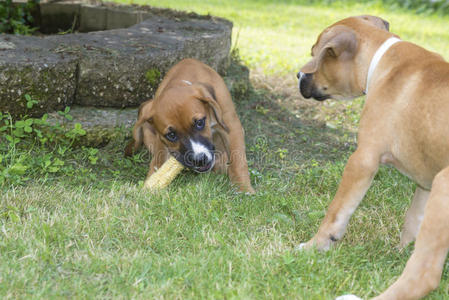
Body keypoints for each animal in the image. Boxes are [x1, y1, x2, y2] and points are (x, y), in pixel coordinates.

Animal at [124, 59, 254, 195]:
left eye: (199, 123)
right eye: (171, 135)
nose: (199, 160)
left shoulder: (231, 126)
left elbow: (238, 160)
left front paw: (244, 188)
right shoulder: (161, 140)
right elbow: (159, 160)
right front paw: (151, 185)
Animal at [296, 15, 446, 298]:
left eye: (315, 55)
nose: (298, 75)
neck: (381, 59)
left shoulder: (363, 160)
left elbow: (336, 214)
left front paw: (316, 245)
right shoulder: (426, 181)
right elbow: (412, 221)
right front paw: (398, 254)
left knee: (425, 274)